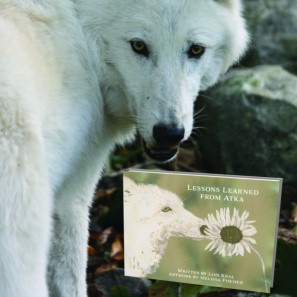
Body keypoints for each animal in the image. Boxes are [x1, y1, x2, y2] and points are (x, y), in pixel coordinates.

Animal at [0, 0, 247, 296]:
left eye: (196, 49)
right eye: (138, 46)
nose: (169, 133)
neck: (80, 30)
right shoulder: (72, 196)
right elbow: (72, 279)